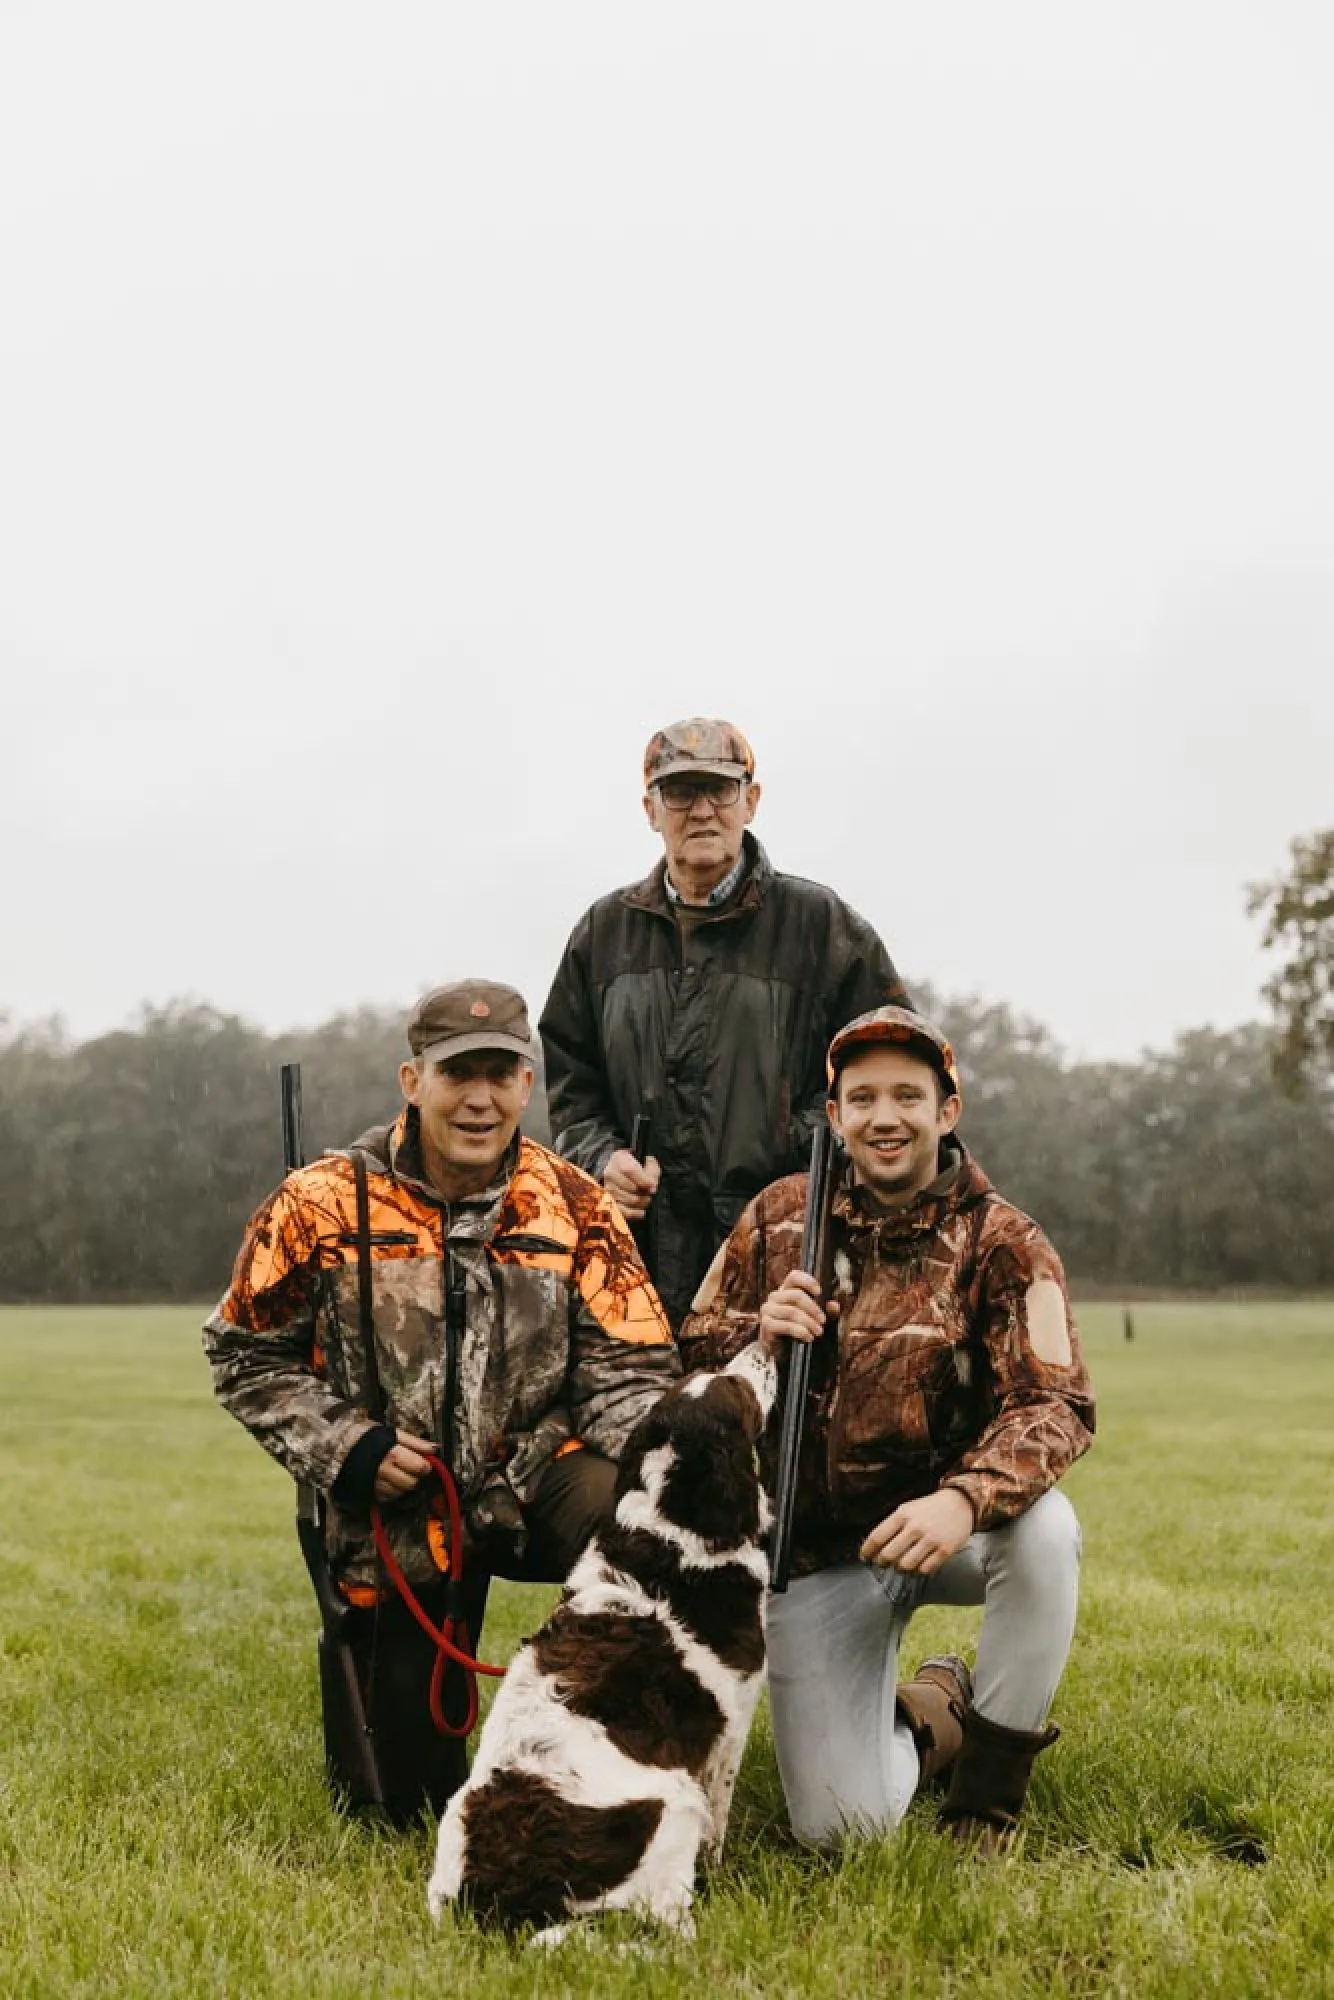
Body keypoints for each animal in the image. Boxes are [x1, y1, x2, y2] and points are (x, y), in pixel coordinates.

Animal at [428, 1344, 776, 1936]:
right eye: (735, 1387)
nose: (767, 1347)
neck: (670, 1531)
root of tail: (492, 1900)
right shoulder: (733, 1720)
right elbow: (720, 1821)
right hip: (673, 1804)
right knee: (668, 1920)